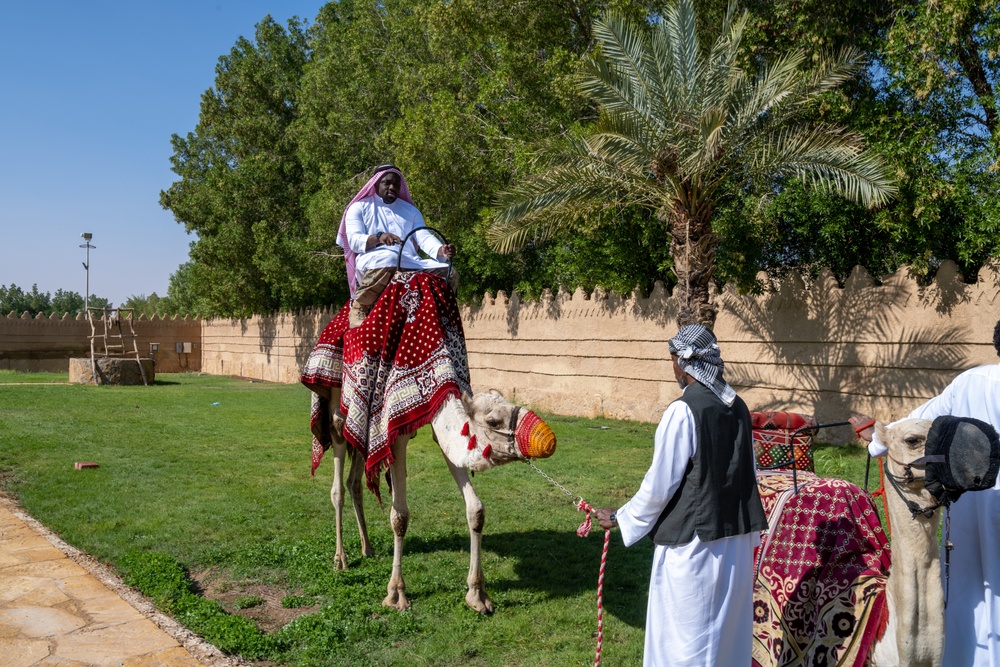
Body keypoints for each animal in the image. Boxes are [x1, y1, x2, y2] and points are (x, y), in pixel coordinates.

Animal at [324, 386, 556, 616]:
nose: (549, 440)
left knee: (354, 482)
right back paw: (340, 559)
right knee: (338, 481)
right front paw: (396, 594)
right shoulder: (394, 432)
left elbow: (476, 509)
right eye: (493, 422)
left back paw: (368, 548)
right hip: (339, 412)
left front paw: (477, 595)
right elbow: (400, 516)